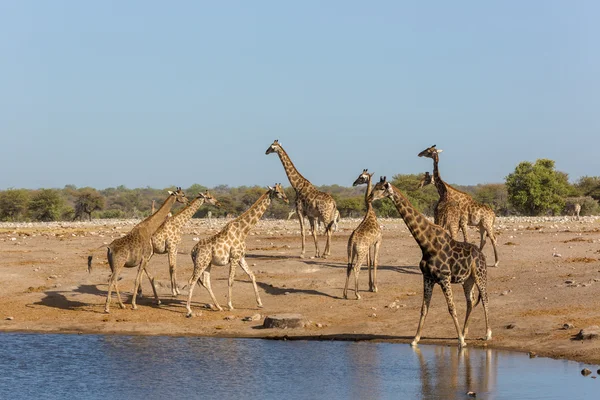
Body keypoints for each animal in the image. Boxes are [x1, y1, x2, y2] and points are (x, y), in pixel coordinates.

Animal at [186, 184, 290, 316]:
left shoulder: (241, 257)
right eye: (277, 192)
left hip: (207, 263)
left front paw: (260, 303)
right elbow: (231, 280)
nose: (287, 199)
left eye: (283, 190)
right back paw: (189, 309)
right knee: (192, 281)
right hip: (200, 263)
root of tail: (193, 251)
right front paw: (230, 305)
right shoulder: (234, 257)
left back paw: (218, 307)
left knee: (206, 282)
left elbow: (252, 275)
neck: (243, 230)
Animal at [344, 167, 382, 298]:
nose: (354, 183)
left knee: (349, 266)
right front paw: (375, 287)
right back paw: (357, 295)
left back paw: (345, 294)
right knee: (356, 268)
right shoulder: (378, 241)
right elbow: (375, 261)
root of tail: (353, 241)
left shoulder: (369, 245)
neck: (370, 211)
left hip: (351, 252)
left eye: (362, 177)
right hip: (361, 252)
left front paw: (370, 286)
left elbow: (369, 262)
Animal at [368, 177, 490, 348]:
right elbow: (424, 308)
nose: (369, 197)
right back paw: (465, 332)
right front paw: (415, 339)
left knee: (484, 299)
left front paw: (460, 341)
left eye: (381, 188)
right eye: (374, 187)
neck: (426, 244)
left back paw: (487, 334)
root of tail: (482, 255)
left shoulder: (444, 277)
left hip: (480, 275)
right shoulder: (427, 277)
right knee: (471, 301)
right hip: (468, 280)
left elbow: (451, 308)